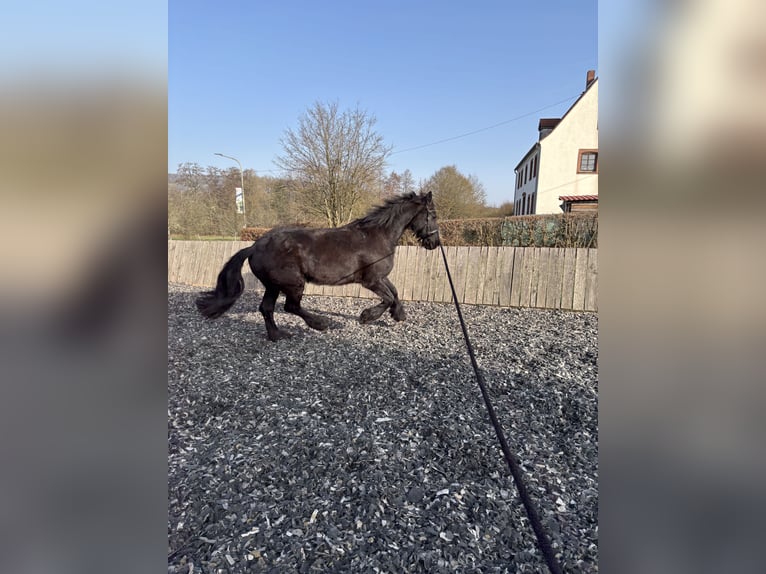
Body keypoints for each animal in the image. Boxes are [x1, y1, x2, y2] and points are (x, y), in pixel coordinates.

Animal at [195, 191, 440, 341]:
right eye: (433, 215)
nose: (435, 243)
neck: (377, 235)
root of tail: (254, 246)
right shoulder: (371, 280)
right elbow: (388, 297)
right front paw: (366, 316)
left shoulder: (380, 277)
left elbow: (395, 292)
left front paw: (399, 315)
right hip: (293, 283)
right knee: (290, 307)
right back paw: (321, 323)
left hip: (273, 285)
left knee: (266, 308)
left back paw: (277, 335)